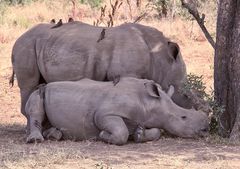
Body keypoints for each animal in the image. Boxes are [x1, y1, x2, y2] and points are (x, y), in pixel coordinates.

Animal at [11, 21, 204, 119]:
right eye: (186, 95)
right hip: (25, 45)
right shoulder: (128, 74)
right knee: (28, 85)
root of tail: (21, 36)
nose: (201, 112)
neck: (161, 59)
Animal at [24, 77, 208, 145]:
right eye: (183, 117)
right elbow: (121, 132)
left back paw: (54, 135)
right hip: (40, 91)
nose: (205, 129)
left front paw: (139, 134)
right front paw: (103, 136)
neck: (149, 102)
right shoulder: (104, 114)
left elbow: (157, 131)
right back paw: (36, 140)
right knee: (35, 109)